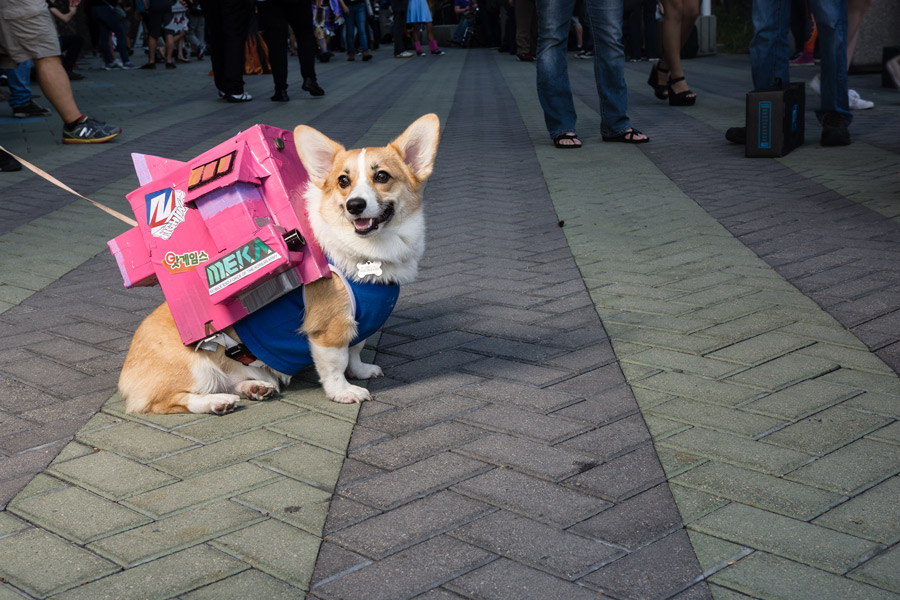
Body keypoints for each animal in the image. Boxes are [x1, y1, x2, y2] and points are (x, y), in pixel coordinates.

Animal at [118, 113, 442, 412]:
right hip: (194, 368)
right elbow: (336, 364)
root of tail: (125, 373)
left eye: (382, 177)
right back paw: (217, 402)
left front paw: (362, 371)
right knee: (169, 402)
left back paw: (254, 388)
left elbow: (356, 350)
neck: (370, 252)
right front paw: (343, 392)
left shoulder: (359, 324)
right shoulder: (329, 330)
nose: (355, 205)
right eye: (343, 181)